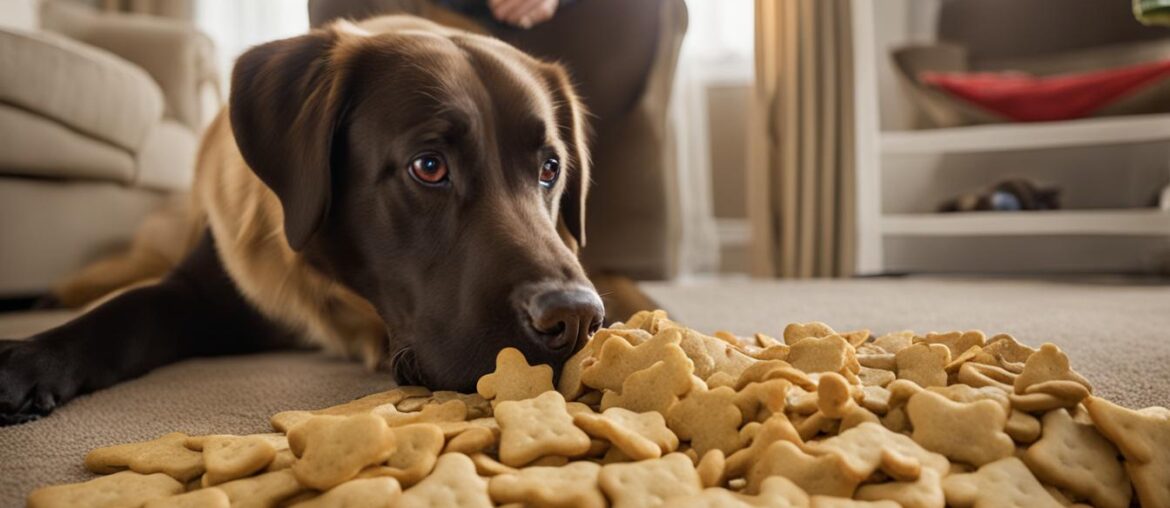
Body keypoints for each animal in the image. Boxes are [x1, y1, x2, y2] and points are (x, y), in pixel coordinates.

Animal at [0, 15, 603, 423]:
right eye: (429, 166)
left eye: (550, 169)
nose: (575, 318)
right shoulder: (198, 288)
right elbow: (124, 313)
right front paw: (27, 360)